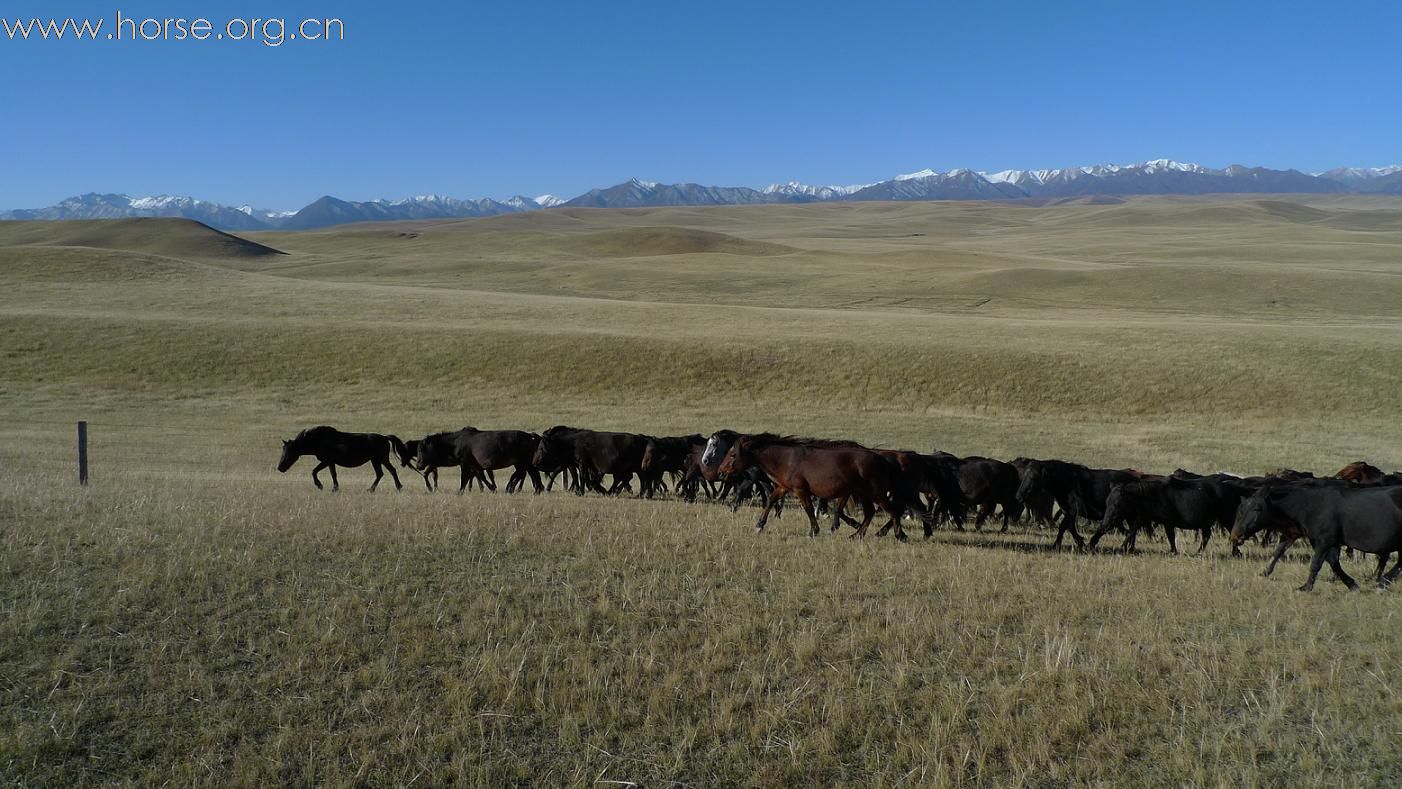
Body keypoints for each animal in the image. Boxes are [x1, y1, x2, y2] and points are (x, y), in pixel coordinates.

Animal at [273, 426, 406, 493]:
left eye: (289, 451)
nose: (280, 468)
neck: (317, 440)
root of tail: (384, 437)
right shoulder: (331, 462)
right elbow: (333, 474)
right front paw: (335, 488)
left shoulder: (326, 461)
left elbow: (314, 471)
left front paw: (320, 485)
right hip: (381, 460)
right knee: (390, 471)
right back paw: (398, 487)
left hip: (378, 460)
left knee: (382, 473)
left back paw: (372, 489)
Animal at [717, 434, 914, 540]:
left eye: (733, 455)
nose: (720, 472)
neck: (786, 459)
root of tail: (884, 460)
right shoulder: (783, 487)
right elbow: (771, 502)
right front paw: (759, 526)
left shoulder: (800, 490)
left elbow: (809, 509)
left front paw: (813, 531)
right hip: (864, 493)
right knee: (870, 513)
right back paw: (856, 535)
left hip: (876, 492)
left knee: (892, 510)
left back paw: (899, 535)